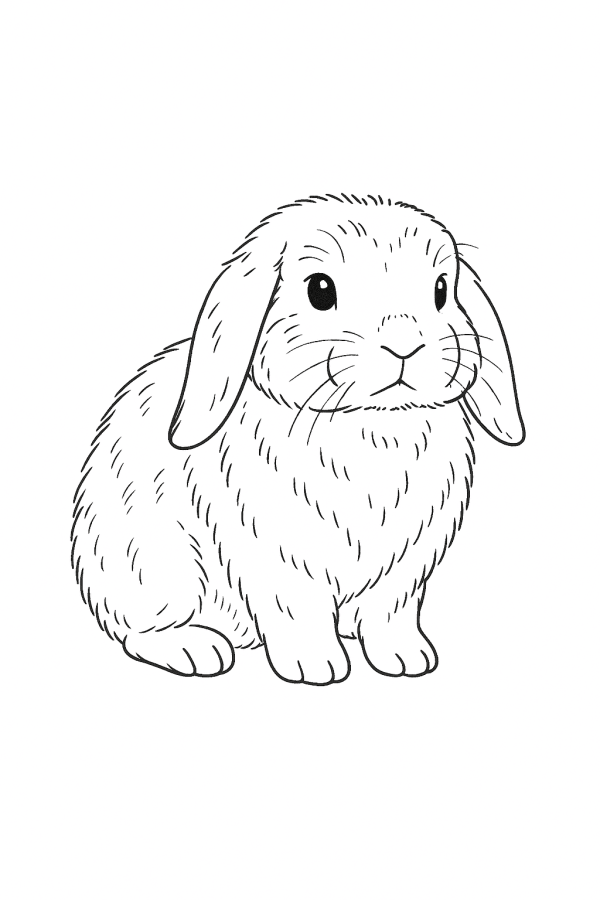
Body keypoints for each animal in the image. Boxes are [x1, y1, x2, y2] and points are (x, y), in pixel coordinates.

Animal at [71, 193, 525, 685]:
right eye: (320, 290)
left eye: (441, 290)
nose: (406, 344)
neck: (371, 426)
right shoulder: (281, 562)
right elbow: (297, 611)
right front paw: (316, 666)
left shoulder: (402, 574)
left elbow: (390, 615)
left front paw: (406, 659)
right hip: (156, 568)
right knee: (138, 630)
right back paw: (198, 648)